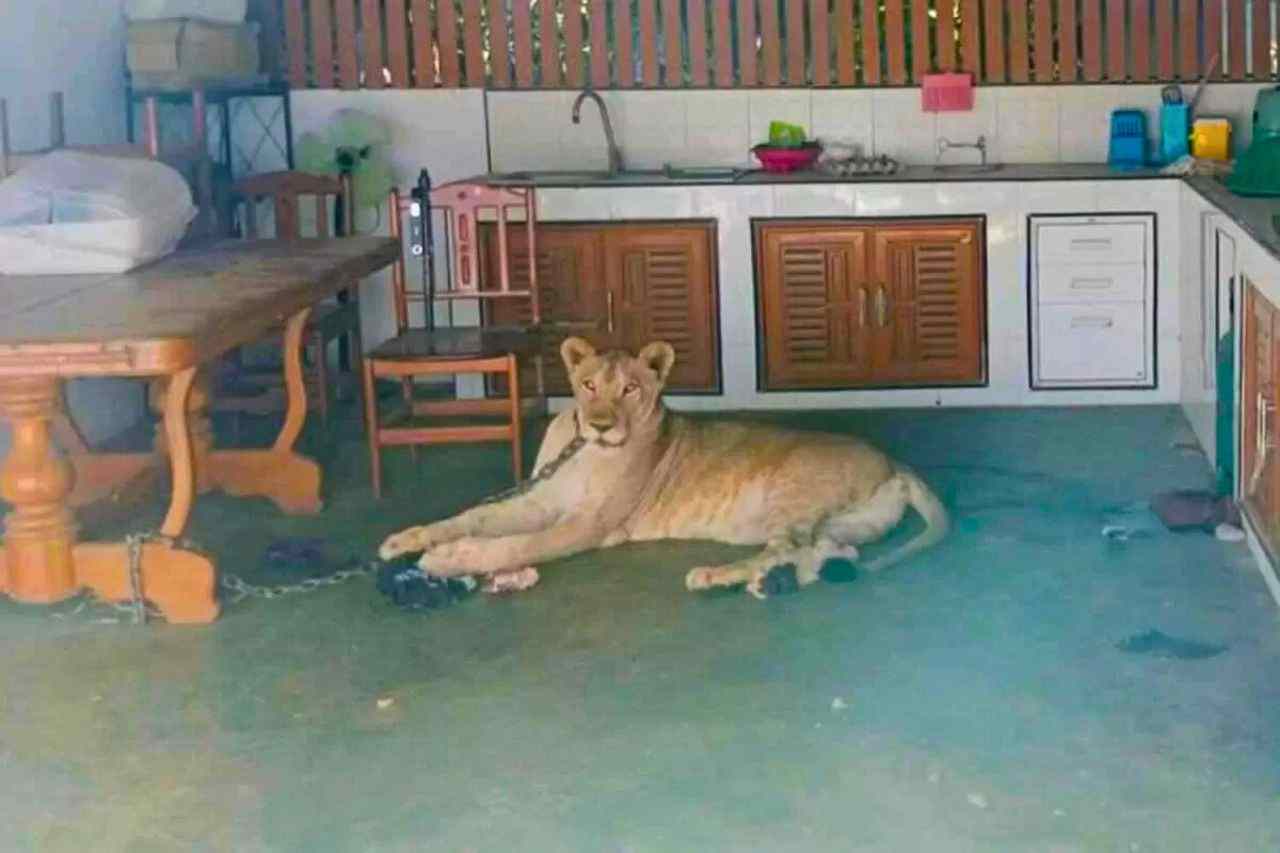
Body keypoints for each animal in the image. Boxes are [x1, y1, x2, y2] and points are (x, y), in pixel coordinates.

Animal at [378, 337, 949, 598]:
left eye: (630, 388)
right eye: (588, 384)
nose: (601, 424)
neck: (585, 450)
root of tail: (895, 462)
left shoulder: (590, 525)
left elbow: (520, 544)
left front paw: (448, 560)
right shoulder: (542, 499)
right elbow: (476, 517)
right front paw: (409, 539)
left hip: (792, 497)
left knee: (787, 547)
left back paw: (716, 576)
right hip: (839, 523)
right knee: (824, 552)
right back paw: (772, 582)